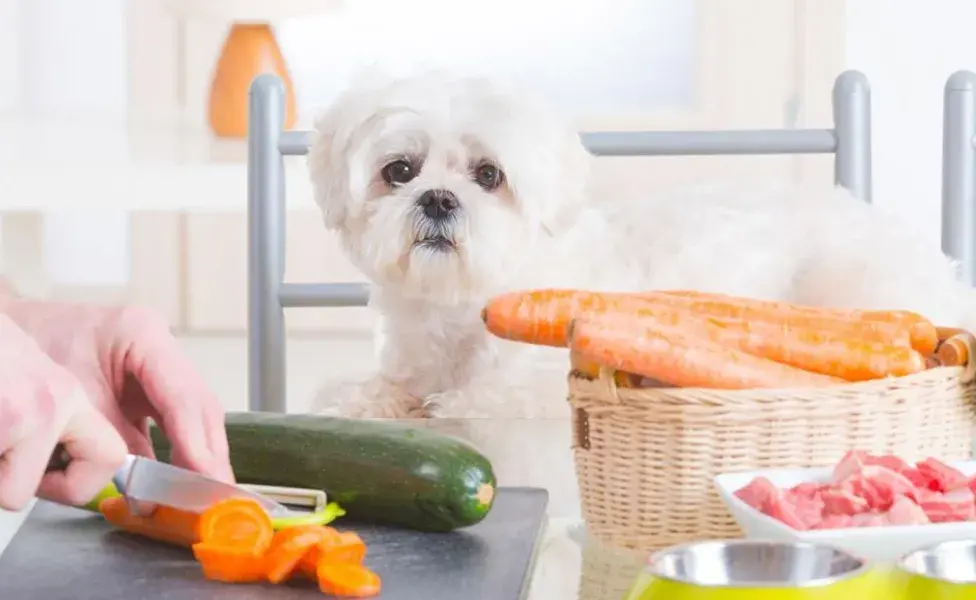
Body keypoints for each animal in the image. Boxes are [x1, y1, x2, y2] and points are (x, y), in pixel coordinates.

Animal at [304, 70, 976, 420]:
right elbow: (368, 397)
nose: (439, 200)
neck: (459, 305)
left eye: (488, 174)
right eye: (400, 170)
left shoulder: (518, 405)